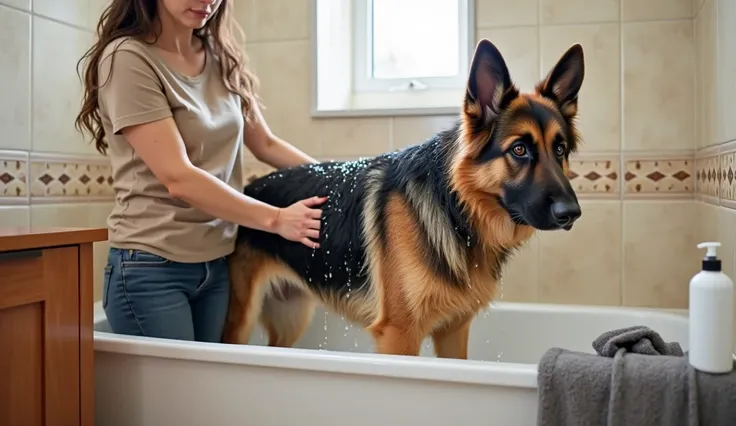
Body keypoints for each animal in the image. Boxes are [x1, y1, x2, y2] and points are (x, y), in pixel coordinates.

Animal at [221, 39, 584, 360]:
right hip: (242, 320)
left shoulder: (454, 331)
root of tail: (249, 191)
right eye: (519, 150)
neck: (455, 208)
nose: (572, 213)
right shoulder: (399, 335)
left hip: (291, 318)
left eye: (560, 149)